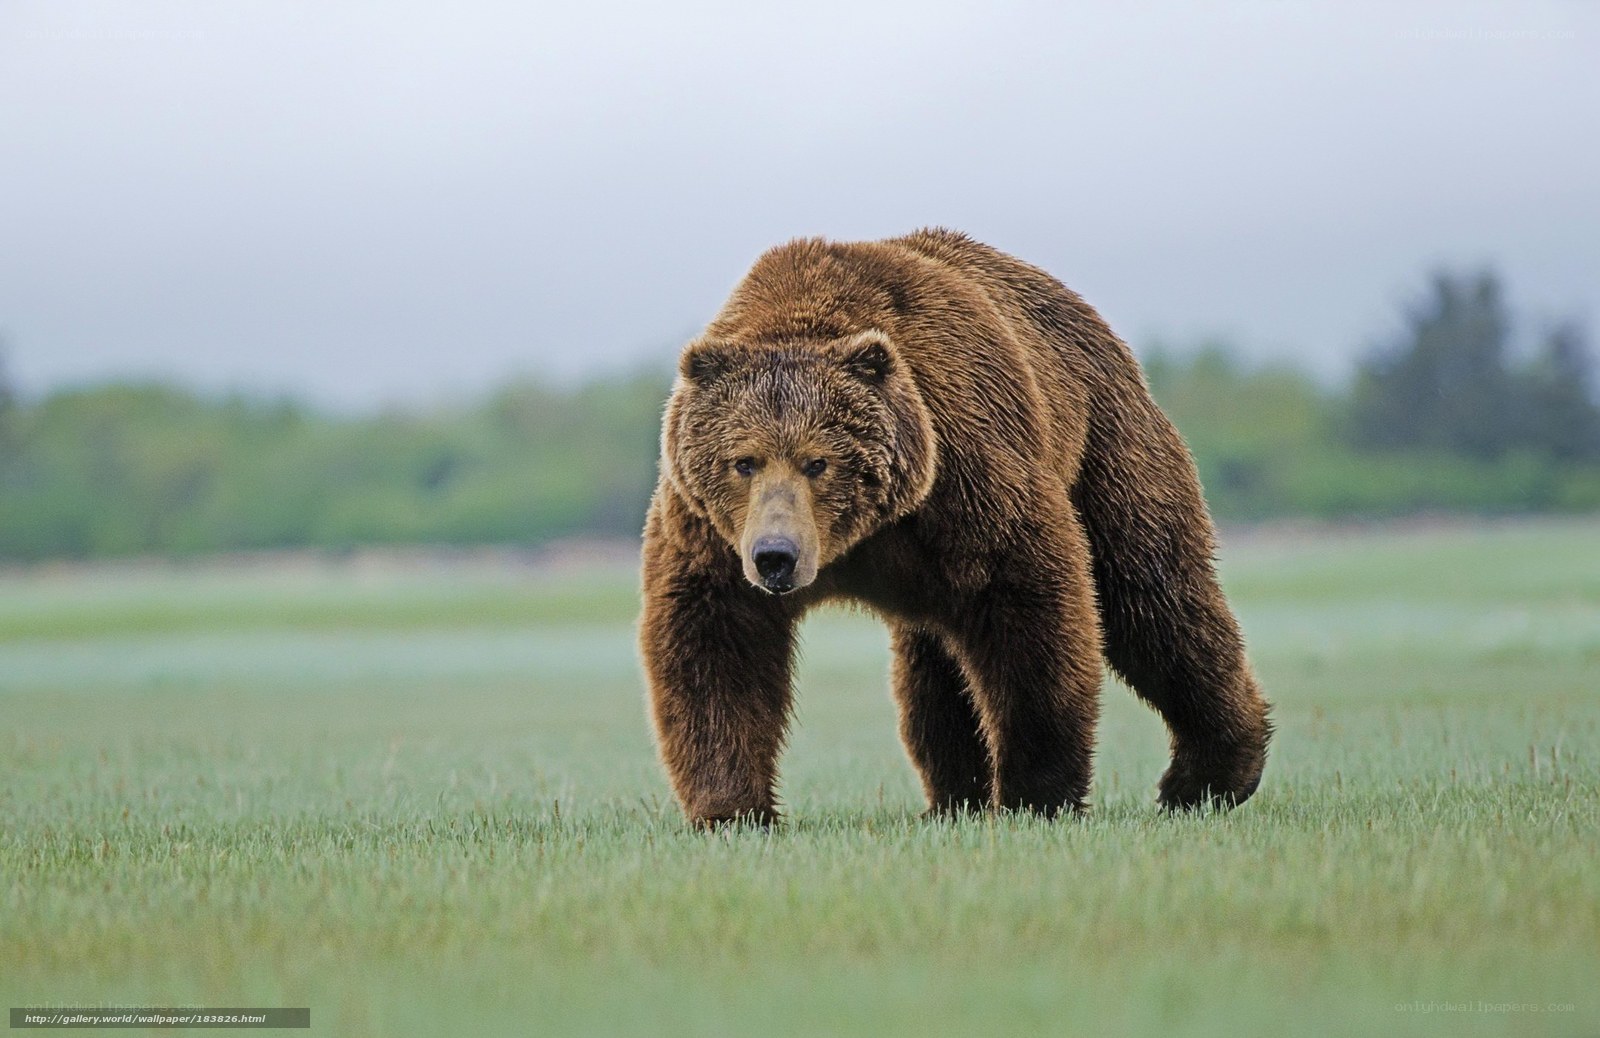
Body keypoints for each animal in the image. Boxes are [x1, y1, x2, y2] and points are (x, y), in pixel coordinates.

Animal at [640, 228, 1270, 826]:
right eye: (744, 461)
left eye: (818, 461)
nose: (776, 555)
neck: (862, 537)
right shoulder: (711, 533)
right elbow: (717, 644)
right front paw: (732, 809)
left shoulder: (967, 475)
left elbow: (1031, 613)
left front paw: (1035, 794)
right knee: (934, 670)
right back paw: (953, 796)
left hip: (1105, 444)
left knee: (1153, 597)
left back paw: (1208, 776)